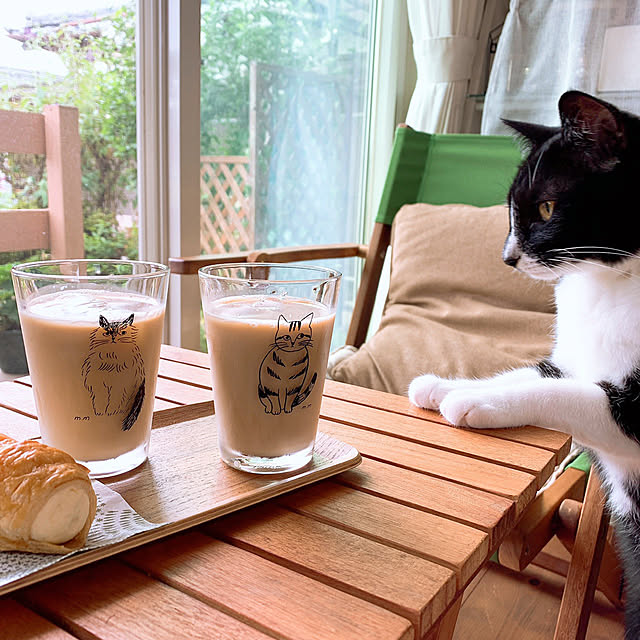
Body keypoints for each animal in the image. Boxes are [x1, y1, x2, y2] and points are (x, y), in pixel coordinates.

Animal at [410, 92, 640, 636]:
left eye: (547, 207)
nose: (507, 256)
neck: (612, 283)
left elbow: (564, 393)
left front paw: (473, 401)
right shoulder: (572, 358)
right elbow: (535, 373)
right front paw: (443, 385)